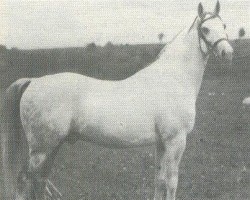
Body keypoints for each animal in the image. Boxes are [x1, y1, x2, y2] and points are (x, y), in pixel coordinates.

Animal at [1, 1, 232, 200]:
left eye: (223, 25)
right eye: (205, 29)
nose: (227, 53)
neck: (172, 79)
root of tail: (33, 81)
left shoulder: (161, 143)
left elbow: (159, 180)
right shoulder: (176, 141)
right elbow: (171, 182)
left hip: (51, 146)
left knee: (39, 181)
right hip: (42, 149)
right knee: (26, 181)